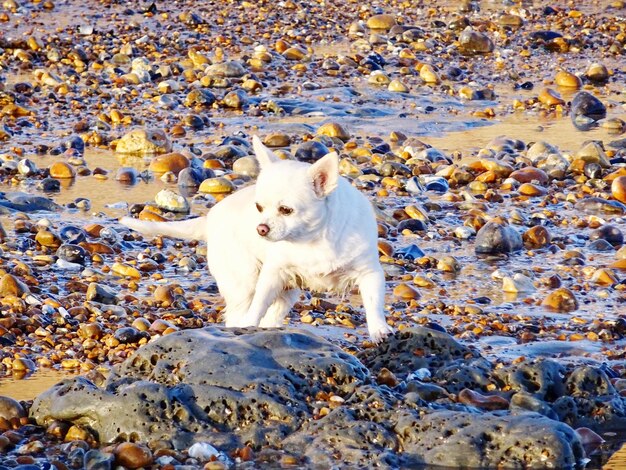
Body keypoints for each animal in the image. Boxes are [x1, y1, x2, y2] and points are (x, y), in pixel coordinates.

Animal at [120, 135, 392, 342]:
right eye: (259, 207)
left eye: (286, 210)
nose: (260, 229)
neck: (313, 240)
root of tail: (209, 218)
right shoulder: (272, 275)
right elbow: (258, 305)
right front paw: (250, 323)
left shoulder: (369, 273)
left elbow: (373, 303)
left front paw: (379, 330)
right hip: (245, 281)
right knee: (240, 312)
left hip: (287, 291)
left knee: (272, 315)